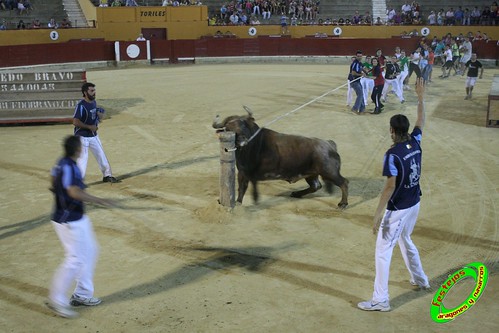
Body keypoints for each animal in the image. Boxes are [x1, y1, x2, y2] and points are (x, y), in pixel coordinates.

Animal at [213, 109, 350, 208]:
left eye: (244, 125)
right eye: (229, 128)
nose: (243, 140)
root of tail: (329, 143)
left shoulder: (249, 174)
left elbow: (249, 187)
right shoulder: (242, 173)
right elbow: (242, 188)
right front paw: (238, 202)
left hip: (329, 173)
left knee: (344, 183)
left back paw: (343, 204)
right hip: (311, 174)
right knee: (316, 186)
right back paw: (296, 194)